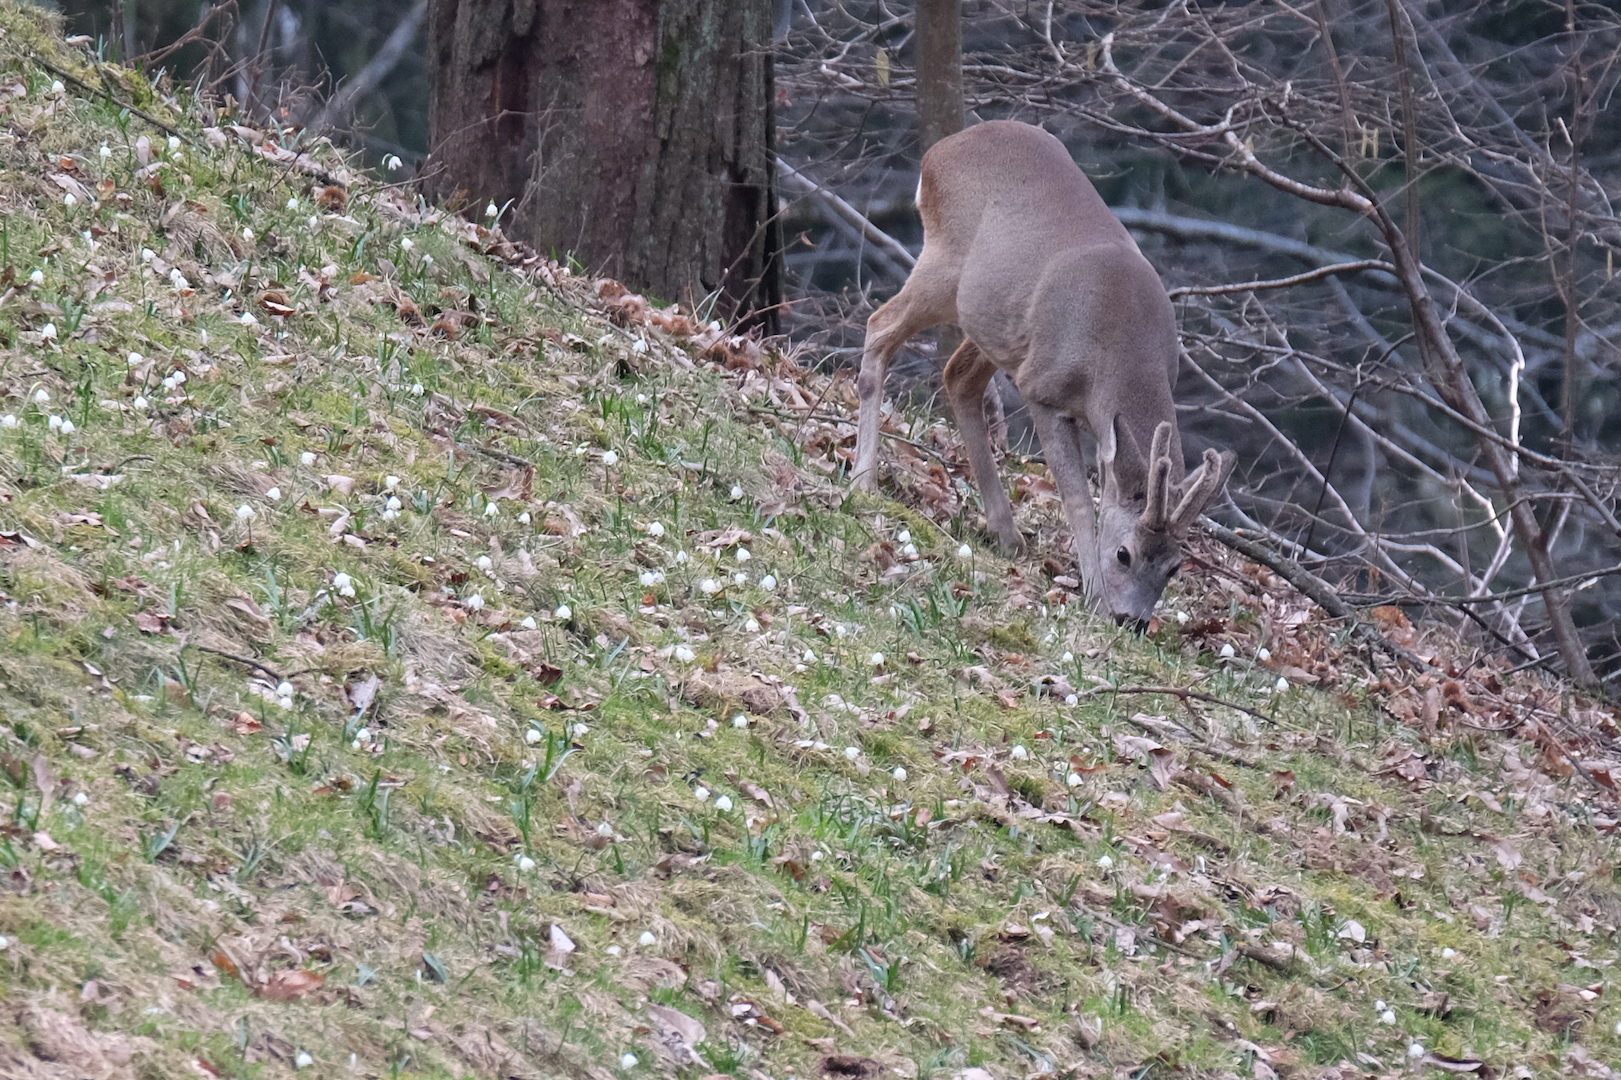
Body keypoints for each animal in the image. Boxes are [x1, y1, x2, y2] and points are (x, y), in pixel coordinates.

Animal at [850, 120, 1235, 627]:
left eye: (1174, 567)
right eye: (1125, 554)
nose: (1131, 621)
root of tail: (938, 152)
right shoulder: (1045, 391)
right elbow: (1079, 501)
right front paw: (1094, 597)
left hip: (1000, 325)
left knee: (957, 376)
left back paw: (1006, 534)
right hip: (948, 269)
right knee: (880, 326)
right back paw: (862, 480)